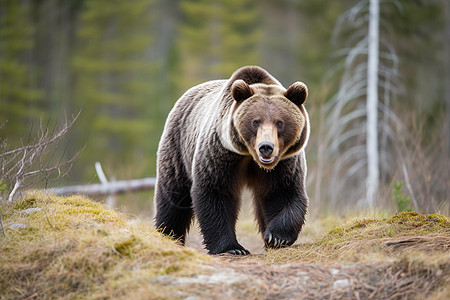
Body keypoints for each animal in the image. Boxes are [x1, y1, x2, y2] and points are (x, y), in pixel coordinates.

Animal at [155, 66, 310, 255]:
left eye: (279, 122)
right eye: (255, 122)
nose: (266, 147)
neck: (250, 156)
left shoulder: (284, 162)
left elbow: (282, 192)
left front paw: (276, 237)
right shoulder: (220, 153)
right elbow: (215, 193)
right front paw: (233, 248)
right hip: (178, 147)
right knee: (173, 197)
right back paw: (167, 235)